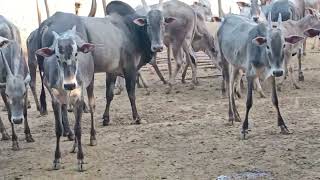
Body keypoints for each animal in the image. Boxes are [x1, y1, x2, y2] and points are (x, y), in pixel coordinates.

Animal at [0, 16, 34, 150]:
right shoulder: (2, 90)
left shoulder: (26, 87)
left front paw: (28, 135)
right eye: (8, 94)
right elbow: (9, 114)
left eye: (23, 94)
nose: (18, 120)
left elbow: (25, 111)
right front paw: (15, 141)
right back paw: (5, 134)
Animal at [35, 25, 95, 170]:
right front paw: (56, 159)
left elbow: (78, 129)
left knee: (91, 106)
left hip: (90, 84)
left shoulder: (79, 97)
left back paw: (92, 137)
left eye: (76, 54)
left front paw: (80, 159)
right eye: (57, 56)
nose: (70, 85)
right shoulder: (55, 100)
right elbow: (58, 128)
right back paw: (74, 146)